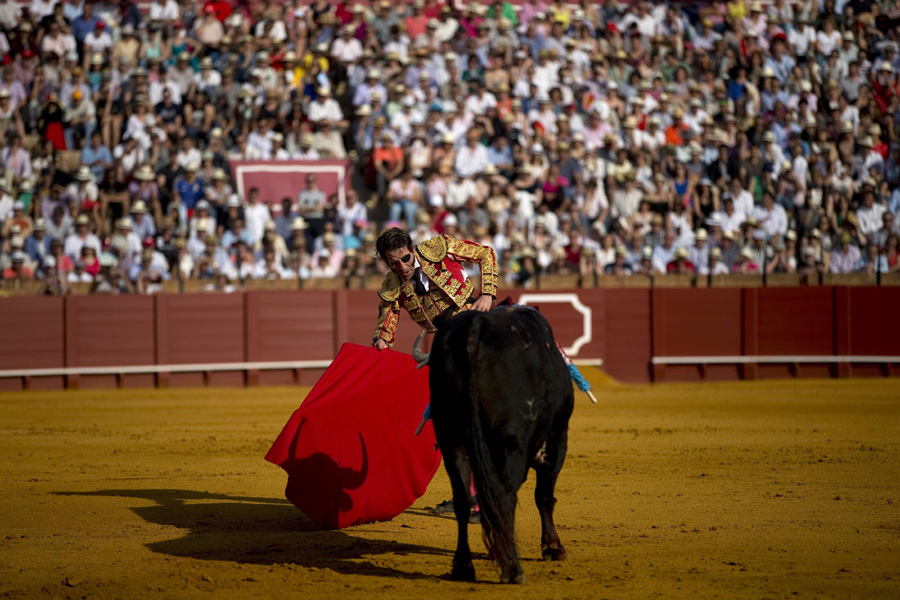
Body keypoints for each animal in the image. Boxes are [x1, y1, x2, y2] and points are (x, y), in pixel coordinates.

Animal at [426, 308, 572, 584]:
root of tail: (475, 326)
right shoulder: (557, 436)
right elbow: (544, 495)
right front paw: (553, 547)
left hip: (450, 439)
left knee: (463, 499)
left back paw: (463, 566)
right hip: (509, 441)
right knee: (506, 495)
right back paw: (513, 570)